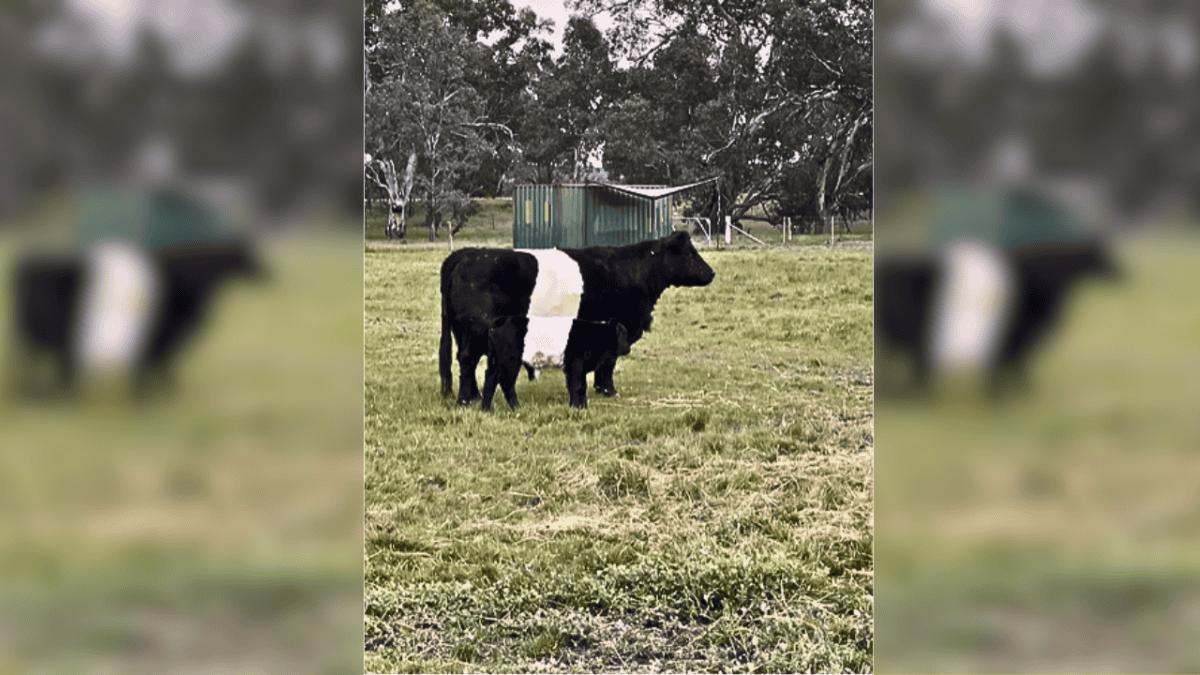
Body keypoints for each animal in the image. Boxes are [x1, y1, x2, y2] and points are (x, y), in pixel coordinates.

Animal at [9, 238, 265, 399]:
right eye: (251, 254)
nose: (269, 274)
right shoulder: (160, 338)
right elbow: (159, 366)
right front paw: (153, 398)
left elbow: (159, 366)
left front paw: (161, 395)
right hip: (48, 337)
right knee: (42, 366)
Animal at [482, 316, 631, 411]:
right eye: (623, 334)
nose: (629, 348)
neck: (596, 335)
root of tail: (500, 320)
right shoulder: (576, 366)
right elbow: (579, 386)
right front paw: (578, 408)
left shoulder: (572, 369)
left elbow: (575, 386)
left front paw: (579, 407)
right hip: (510, 361)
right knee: (506, 382)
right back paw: (517, 408)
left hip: (496, 362)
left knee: (490, 379)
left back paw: (486, 409)